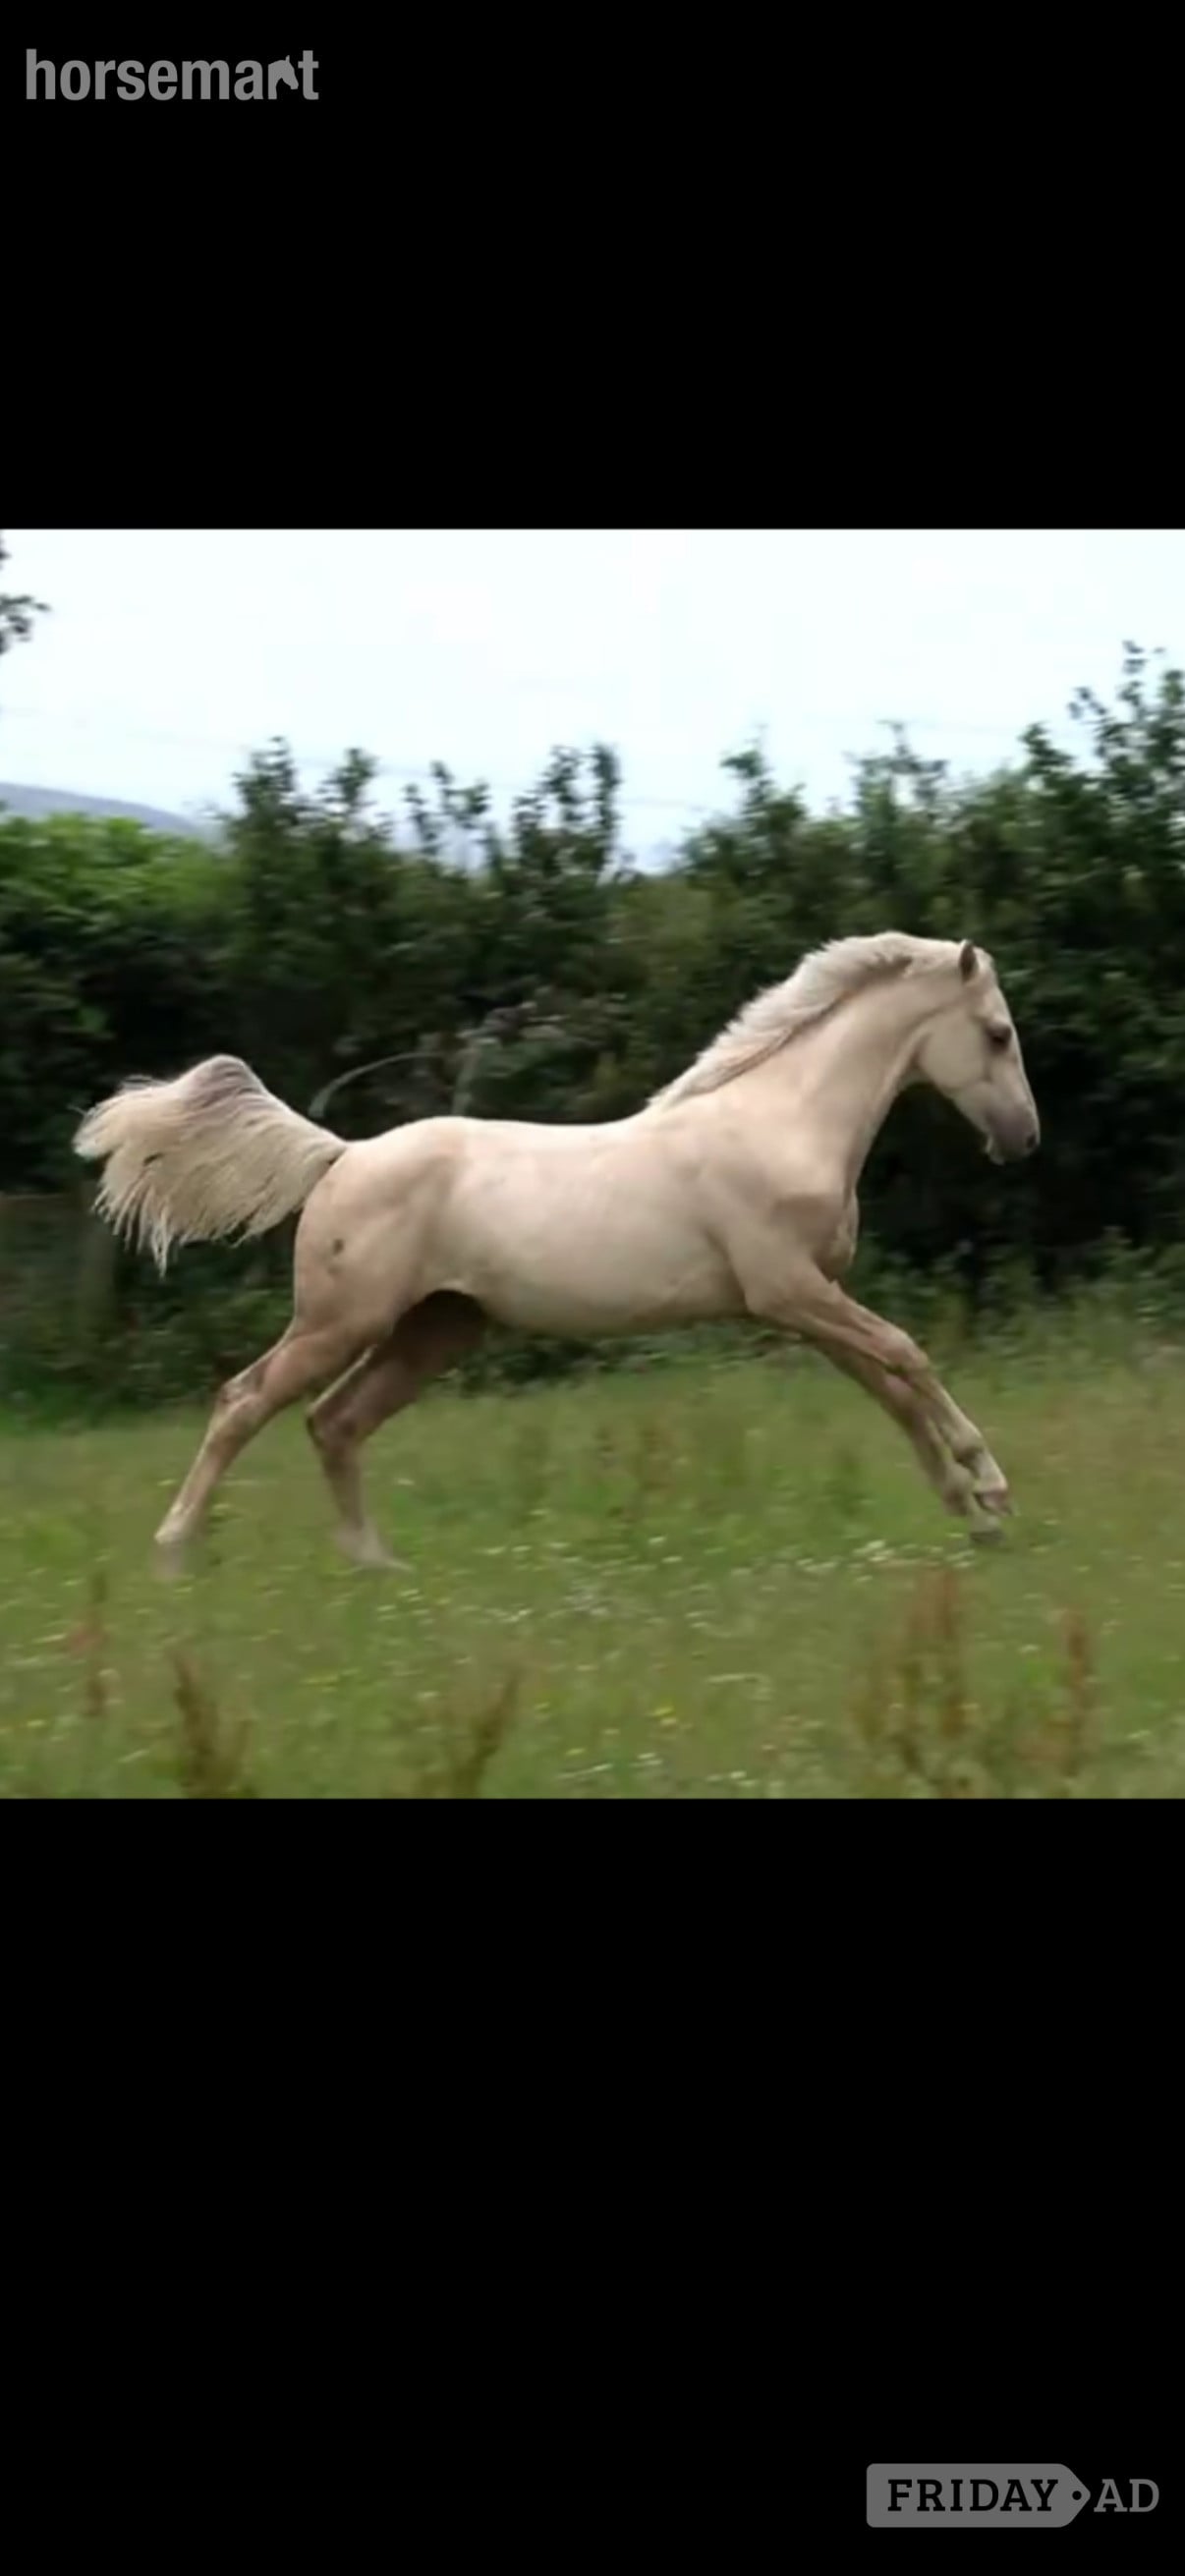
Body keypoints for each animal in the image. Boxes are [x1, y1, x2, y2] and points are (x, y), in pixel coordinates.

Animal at [73, 931, 1039, 1575]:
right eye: (996, 1033)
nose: (1023, 1138)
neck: (782, 1124)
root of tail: (342, 1156)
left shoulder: (811, 1303)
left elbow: (894, 1387)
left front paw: (971, 1513)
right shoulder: (790, 1291)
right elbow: (909, 1357)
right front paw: (992, 1488)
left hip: (436, 1329)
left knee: (335, 1422)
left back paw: (376, 1565)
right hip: (339, 1321)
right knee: (245, 1403)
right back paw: (176, 1553)